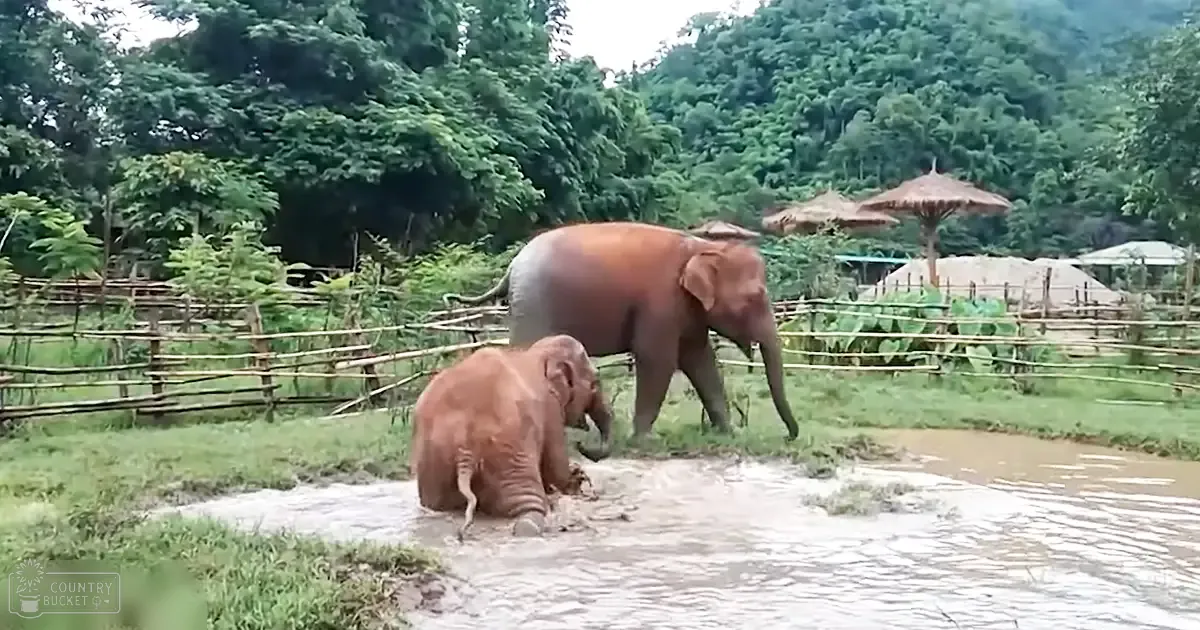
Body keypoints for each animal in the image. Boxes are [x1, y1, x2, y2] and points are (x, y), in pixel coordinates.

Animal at [409, 334, 614, 540]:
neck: (537, 353)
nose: (581, 445)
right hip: (509, 451)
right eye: (595, 383)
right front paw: (575, 481)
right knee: (531, 509)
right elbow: (555, 465)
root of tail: (465, 450)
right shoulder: (550, 409)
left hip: (433, 460)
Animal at [443, 221, 800, 441]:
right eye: (754, 298)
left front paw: (729, 433)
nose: (789, 435)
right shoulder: (660, 301)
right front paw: (645, 439)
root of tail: (511, 268)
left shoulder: (687, 310)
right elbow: (657, 359)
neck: (701, 247)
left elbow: (699, 360)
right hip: (535, 305)